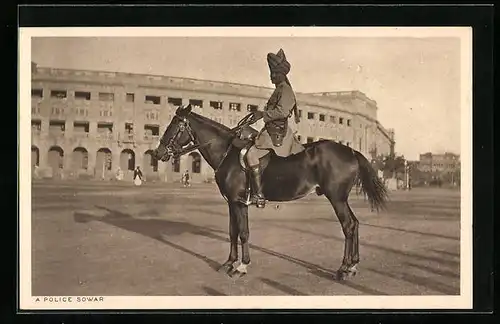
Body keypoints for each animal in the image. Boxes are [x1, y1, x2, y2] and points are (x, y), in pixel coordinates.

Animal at [150, 105, 388, 280]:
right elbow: (233, 232)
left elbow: (243, 233)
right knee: (354, 223)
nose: (158, 153)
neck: (228, 153)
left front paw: (241, 267)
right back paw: (352, 266)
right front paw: (229, 263)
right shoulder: (233, 203)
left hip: (336, 198)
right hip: (340, 198)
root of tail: (351, 151)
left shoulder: (239, 203)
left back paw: (344, 269)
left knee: (348, 226)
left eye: (175, 126)